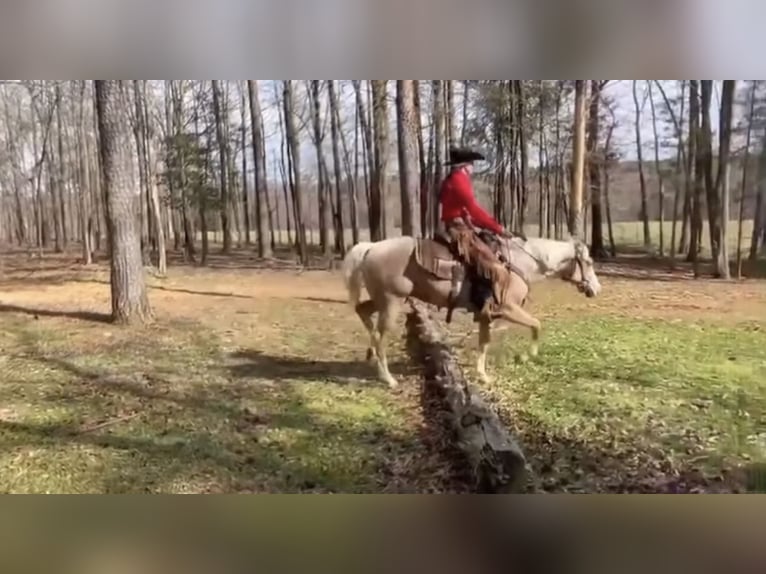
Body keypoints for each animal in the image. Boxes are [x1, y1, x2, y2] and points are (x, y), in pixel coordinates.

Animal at [344, 234, 608, 392]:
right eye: (589, 262)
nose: (596, 288)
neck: (520, 263)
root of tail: (371, 247)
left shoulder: (486, 315)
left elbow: (484, 343)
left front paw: (483, 375)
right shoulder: (508, 309)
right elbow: (536, 325)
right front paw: (526, 356)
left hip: (382, 301)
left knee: (362, 311)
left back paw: (371, 355)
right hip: (392, 303)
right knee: (380, 337)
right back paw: (387, 378)